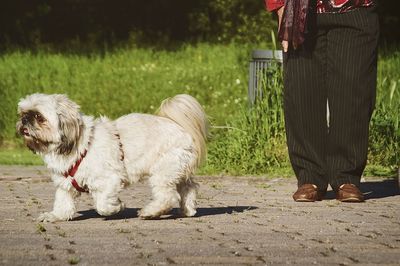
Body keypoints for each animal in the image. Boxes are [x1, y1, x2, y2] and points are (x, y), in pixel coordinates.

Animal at [16, 92, 208, 221]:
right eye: (22, 113)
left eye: (38, 116)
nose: (24, 120)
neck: (79, 144)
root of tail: (179, 127)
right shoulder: (66, 184)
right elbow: (63, 203)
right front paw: (55, 216)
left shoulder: (108, 179)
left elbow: (102, 204)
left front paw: (117, 207)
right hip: (176, 169)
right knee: (188, 187)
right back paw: (187, 209)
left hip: (163, 171)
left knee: (168, 196)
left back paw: (150, 212)